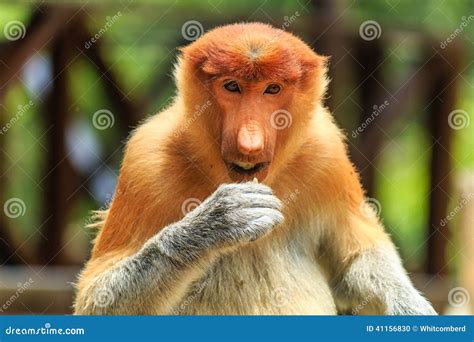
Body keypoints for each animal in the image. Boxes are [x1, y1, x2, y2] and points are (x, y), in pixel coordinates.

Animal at [73, 22, 436, 316]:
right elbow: (97, 296)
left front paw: (410, 308)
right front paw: (220, 219)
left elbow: (355, 260)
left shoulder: (327, 152)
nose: (250, 142)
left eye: (272, 89)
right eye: (231, 86)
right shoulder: (146, 158)